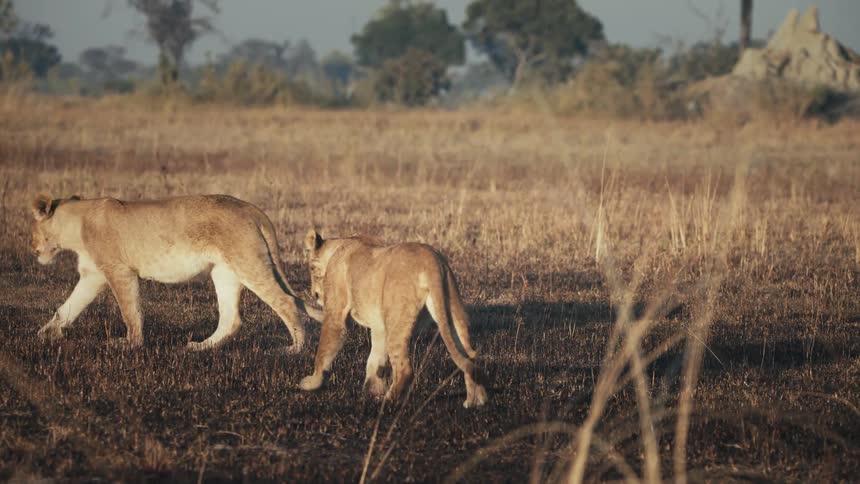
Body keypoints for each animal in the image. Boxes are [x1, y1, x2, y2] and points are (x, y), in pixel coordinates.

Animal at [29, 193, 322, 351]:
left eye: (32, 230)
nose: (31, 247)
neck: (76, 224)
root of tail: (252, 209)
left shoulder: (119, 270)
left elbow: (130, 311)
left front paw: (131, 344)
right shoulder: (93, 276)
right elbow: (67, 308)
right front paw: (44, 334)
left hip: (248, 262)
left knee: (285, 301)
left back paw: (296, 348)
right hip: (224, 273)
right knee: (232, 319)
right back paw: (201, 346)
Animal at [299, 230, 488, 408]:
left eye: (311, 268)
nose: (314, 294)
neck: (341, 245)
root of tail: (431, 260)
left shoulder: (335, 313)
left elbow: (324, 351)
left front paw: (311, 383)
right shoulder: (379, 325)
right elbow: (375, 359)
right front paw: (372, 390)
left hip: (397, 318)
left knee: (404, 368)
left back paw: (389, 401)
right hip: (453, 311)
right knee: (469, 355)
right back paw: (475, 401)